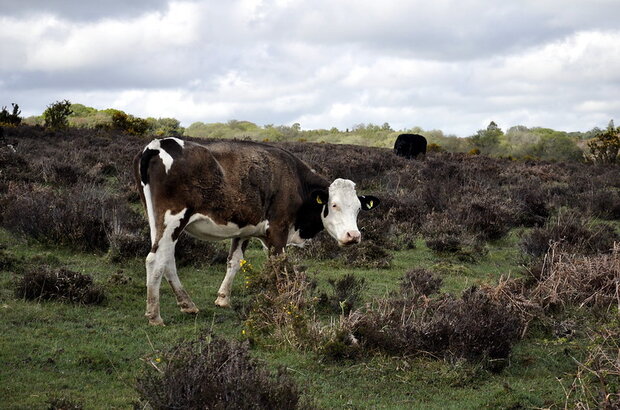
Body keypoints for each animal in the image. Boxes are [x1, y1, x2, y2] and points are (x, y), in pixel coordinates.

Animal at [133, 138, 380, 326]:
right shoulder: (278, 231)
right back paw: (154, 315)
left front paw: (223, 298)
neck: (295, 180)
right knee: (155, 260)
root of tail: (157, 144)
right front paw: (286, 302)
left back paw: (187, 304)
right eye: (334, 205)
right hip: (173, 220)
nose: (353, 236)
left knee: (167, 259)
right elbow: (279, 267)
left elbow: (234, 261)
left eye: (358, 208)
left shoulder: (244, 229)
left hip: (158, 223)